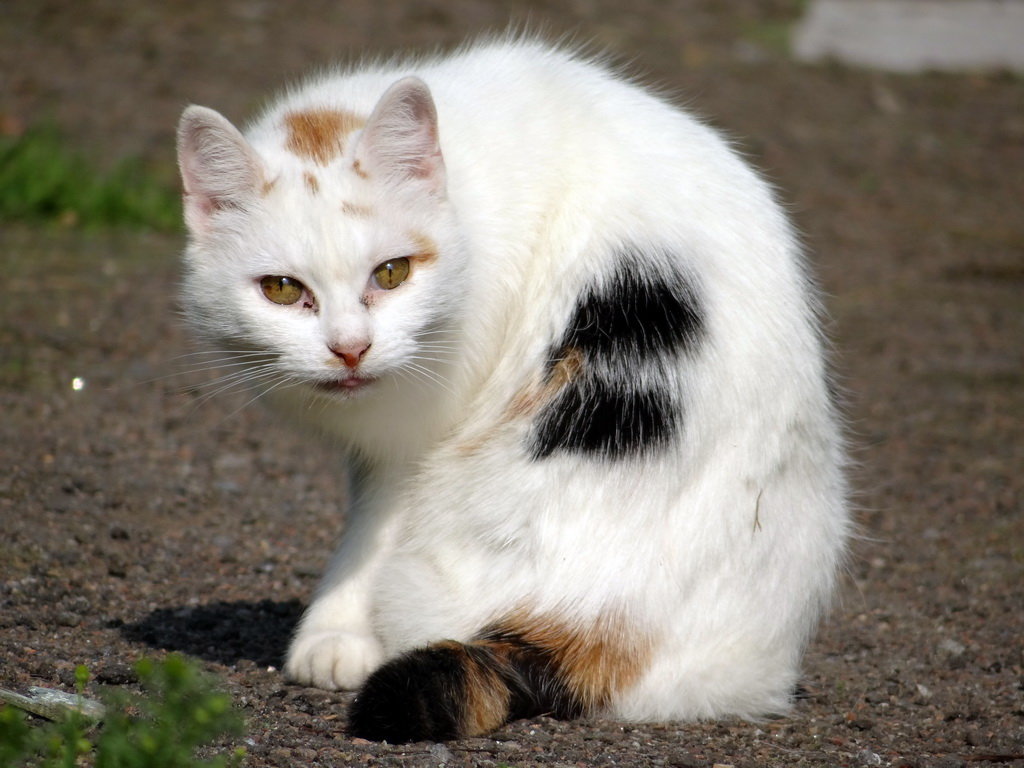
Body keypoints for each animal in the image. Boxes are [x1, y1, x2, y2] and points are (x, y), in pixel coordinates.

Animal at [176, 37, 847, 745]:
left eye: (392, 273)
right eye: (281, 289)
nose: (350, 347)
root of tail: (601, 625)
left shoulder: (416, 441)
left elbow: (371, 528)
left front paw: (333, 632)